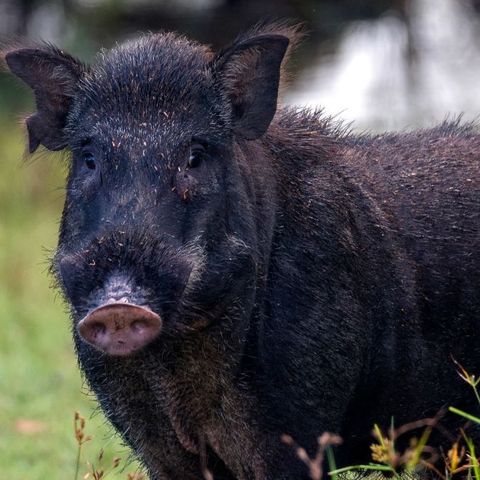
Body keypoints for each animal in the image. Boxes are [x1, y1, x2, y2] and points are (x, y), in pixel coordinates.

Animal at [3, 22, 480, 480]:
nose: (119, 306)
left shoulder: (300, 425)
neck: (177, 359)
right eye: (89, 159)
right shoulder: (153, 440)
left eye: (195, 156)